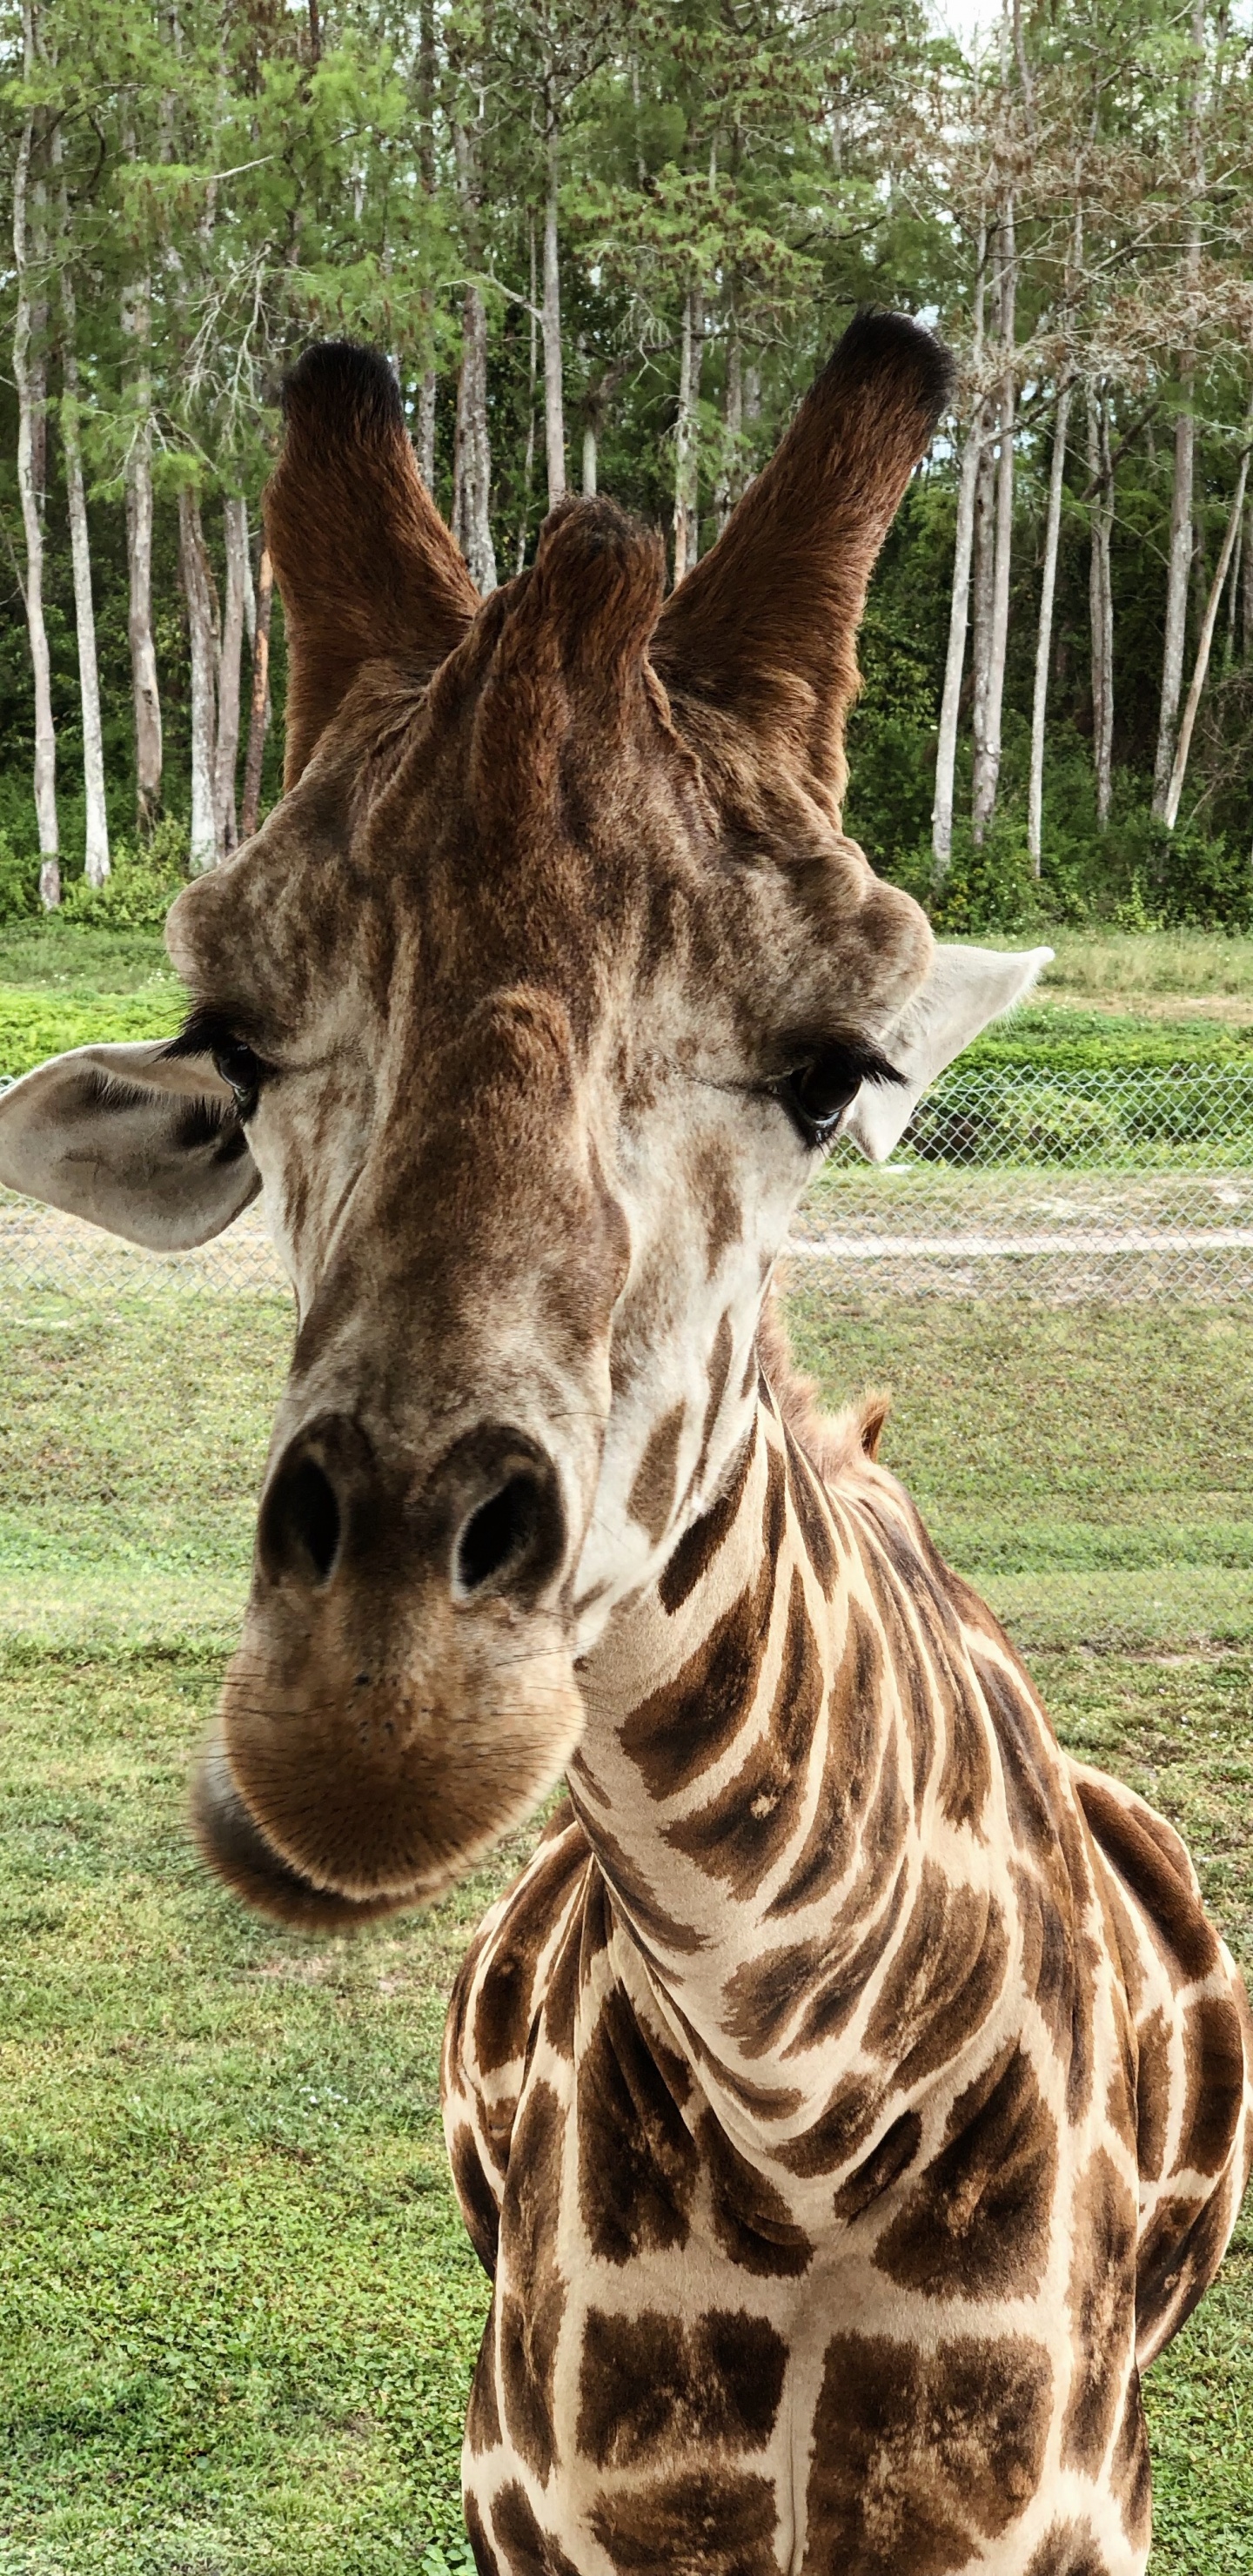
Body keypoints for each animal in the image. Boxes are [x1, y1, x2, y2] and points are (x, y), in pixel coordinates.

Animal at [1, 313, 1248, 2576]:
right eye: (238, 1046)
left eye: (833, 1071)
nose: (372, 1711)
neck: (806, 2107)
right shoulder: (532, 2492)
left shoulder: (1059, 2510)